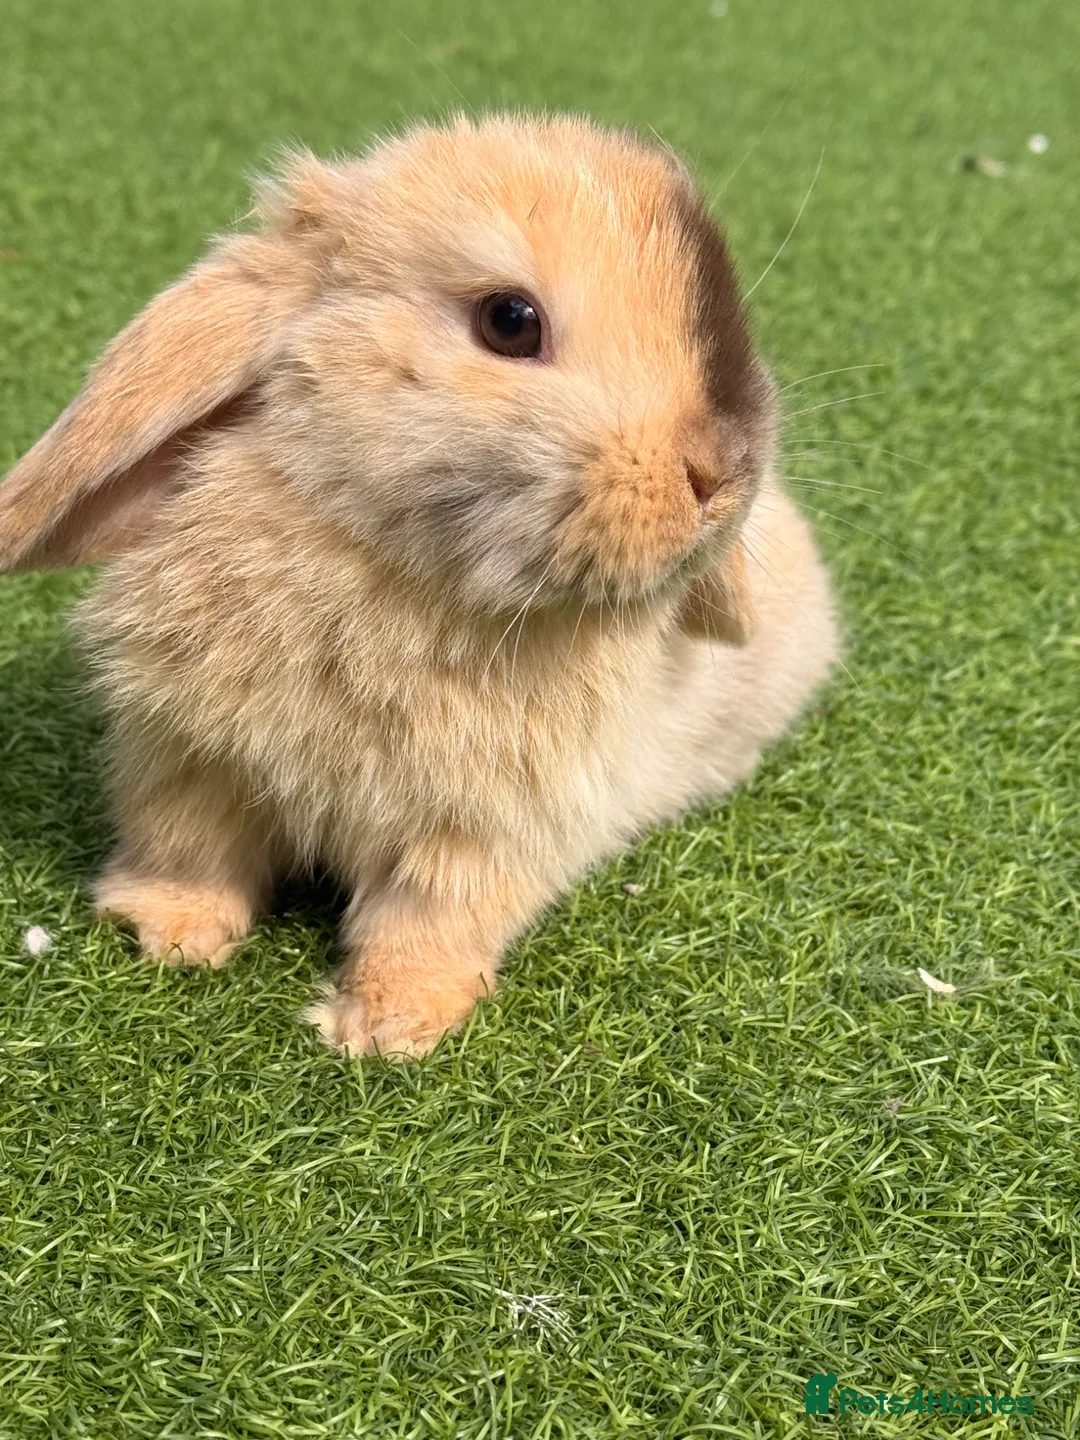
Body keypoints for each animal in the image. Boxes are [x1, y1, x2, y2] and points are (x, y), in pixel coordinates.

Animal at [0, 113, 838, 1059]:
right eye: (509, 321)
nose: (722, 473)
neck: (401, 571)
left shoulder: (479, 839)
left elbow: (424, 923)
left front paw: (385, 1029)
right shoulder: (189, 762)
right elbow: (190, 853)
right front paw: (168, 937)